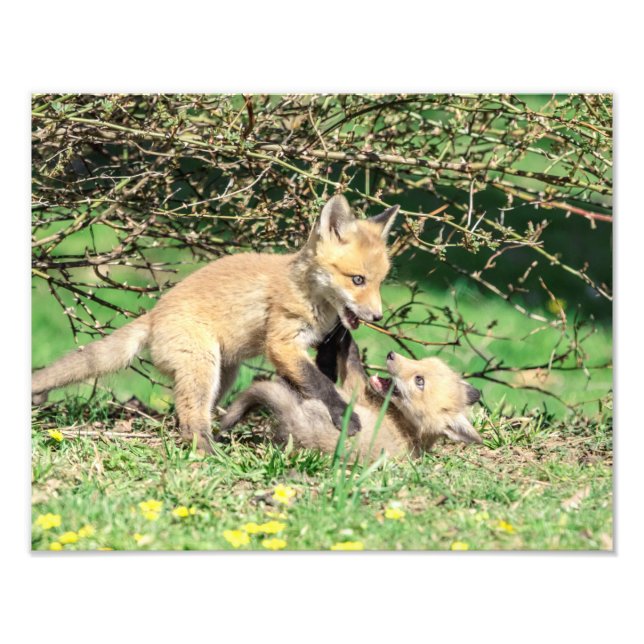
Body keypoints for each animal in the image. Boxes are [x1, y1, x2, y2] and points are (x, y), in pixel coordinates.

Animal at [32, 195, 399, 451]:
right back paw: (207, 451)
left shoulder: (316, 341)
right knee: (190, 419)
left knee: (188, 414)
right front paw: (344, 415)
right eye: (357, 280)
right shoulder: (281, 342)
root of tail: (154, 314)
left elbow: (319, 374)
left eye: (380, 282)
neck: (309, 294)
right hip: (203, 365)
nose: (378, 317)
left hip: (223, 372)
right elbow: (319, 383)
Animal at [221, 328, 483, 460]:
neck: (410, 429)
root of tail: (295, 422)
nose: (391, 355)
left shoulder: (356, 389)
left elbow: (352, 357)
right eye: (421, 362)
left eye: (420, 381)